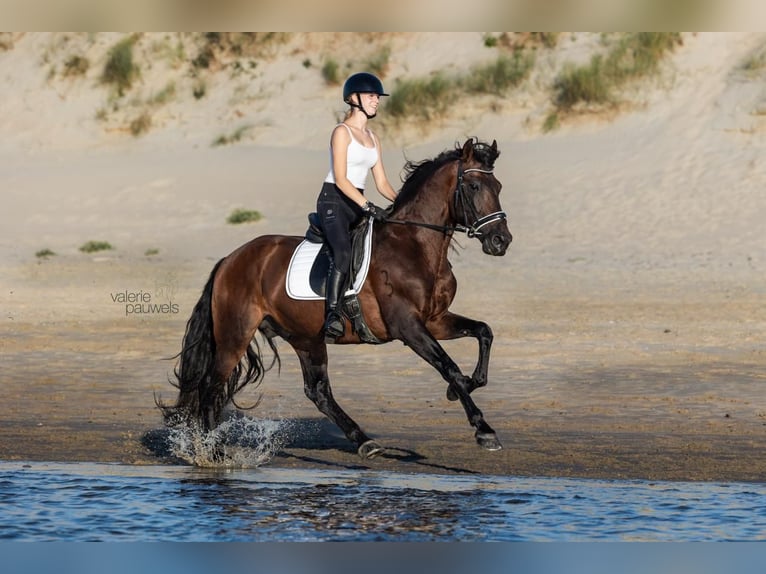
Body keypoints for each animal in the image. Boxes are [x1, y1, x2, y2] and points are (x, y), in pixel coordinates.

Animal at [159, 137, 512, 462]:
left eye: (498, 186)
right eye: (474, 185)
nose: (501, 241)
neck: (415, 246)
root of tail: (229, 260)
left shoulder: (435, 321)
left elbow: (484, 332)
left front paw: (462, 387)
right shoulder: (408, 327)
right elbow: (448, 366)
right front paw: (484, 430)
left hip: (305, 337)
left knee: (318, 391)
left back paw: (365, 442)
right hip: (236, 335)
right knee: (211, 387)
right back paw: (213, 453)